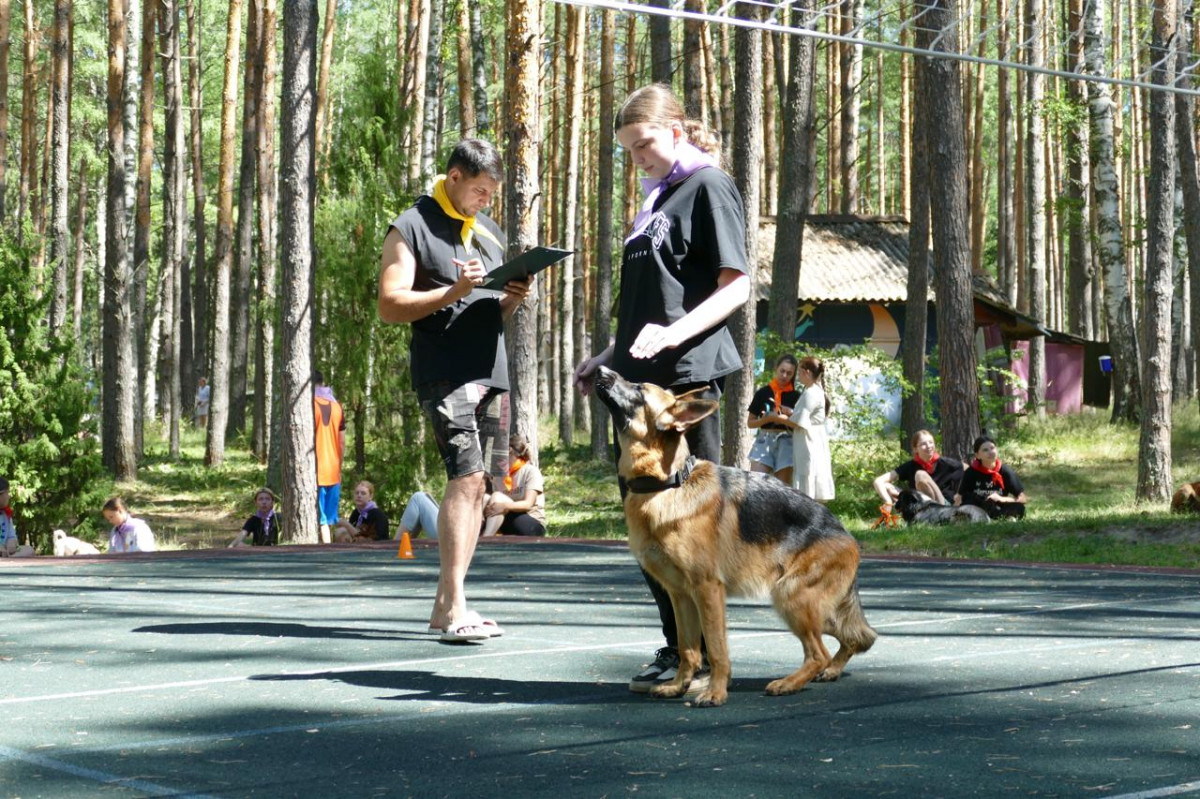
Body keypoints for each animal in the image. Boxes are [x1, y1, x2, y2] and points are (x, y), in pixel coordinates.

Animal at [595, 364, 878, 705]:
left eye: (639, 389)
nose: (601, 367)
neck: (668, 483)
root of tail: (845, 533)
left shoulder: (706, 590)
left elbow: (716, 649)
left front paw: (716, 692)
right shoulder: (680, 596)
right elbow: (688, 649)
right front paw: (678, 685)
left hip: (791, 597)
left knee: (819, 653)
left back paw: (789, 682)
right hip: (814, 607)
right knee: (856, 637)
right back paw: (830, 670)